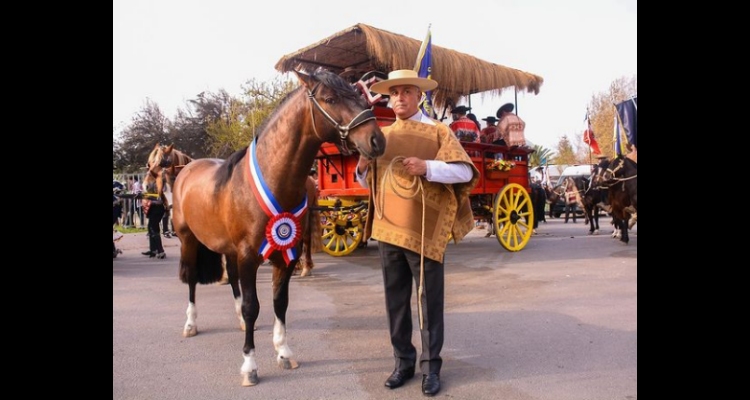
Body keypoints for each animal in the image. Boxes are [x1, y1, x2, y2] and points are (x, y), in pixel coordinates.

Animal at [169, 69, 382, 388]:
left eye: (359, 95)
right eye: (330, 99)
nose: (377, 139)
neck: (274, 179)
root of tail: (187, 170)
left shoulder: (286, 254)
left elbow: (279, 302)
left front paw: (284, 352)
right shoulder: (249, 256)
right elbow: (253, 306)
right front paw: (249, 366)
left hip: (227, 248)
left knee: (232, 281)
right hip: (189, 240)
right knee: (193, 279)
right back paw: (191, 324)